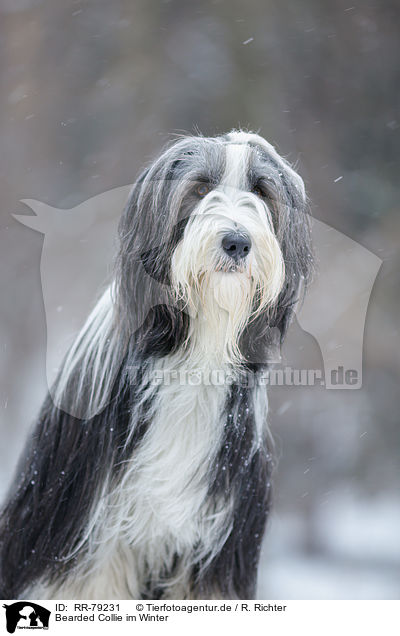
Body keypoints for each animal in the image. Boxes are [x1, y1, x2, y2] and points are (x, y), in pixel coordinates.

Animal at [0, 130, 312, 600]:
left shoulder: (216, 547)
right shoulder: (86, 531)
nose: (237, 242)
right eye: (200, 189)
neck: (194, 349)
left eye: (260, 191)